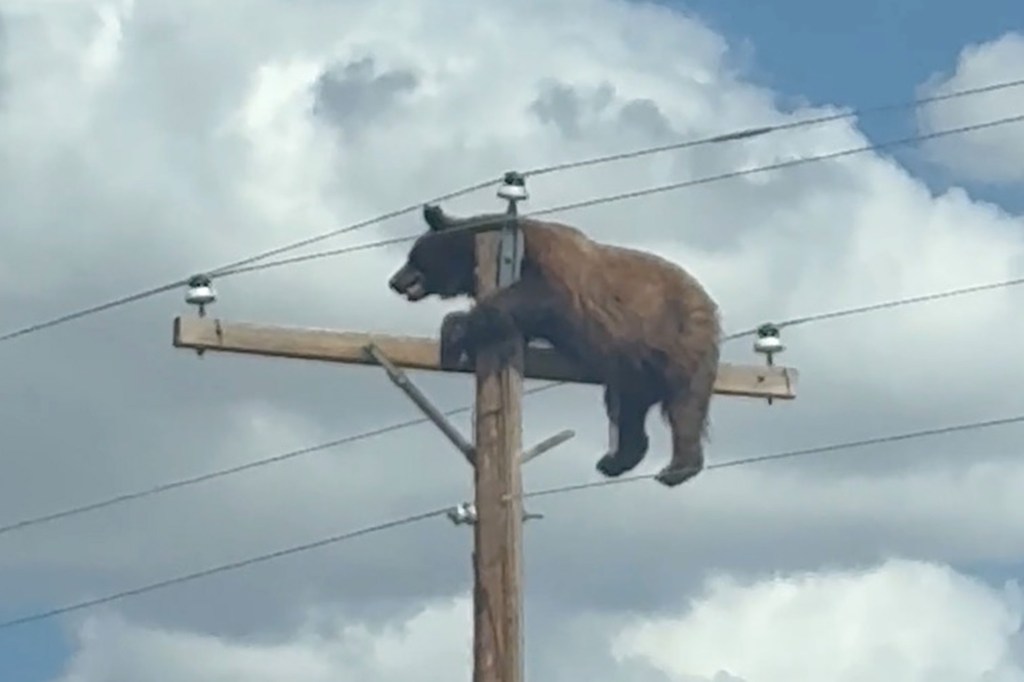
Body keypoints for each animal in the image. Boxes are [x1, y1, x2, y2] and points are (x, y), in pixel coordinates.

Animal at [387, 203, 722, 487]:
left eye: (412, 256)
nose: (394, 281)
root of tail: (709, 302)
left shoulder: (552, 269)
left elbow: (535, 296)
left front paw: (454, 330)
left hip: (679, 337)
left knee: (685, 403)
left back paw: (677, 468)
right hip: (633, 365)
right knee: (627, 408)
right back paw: (615, 460)